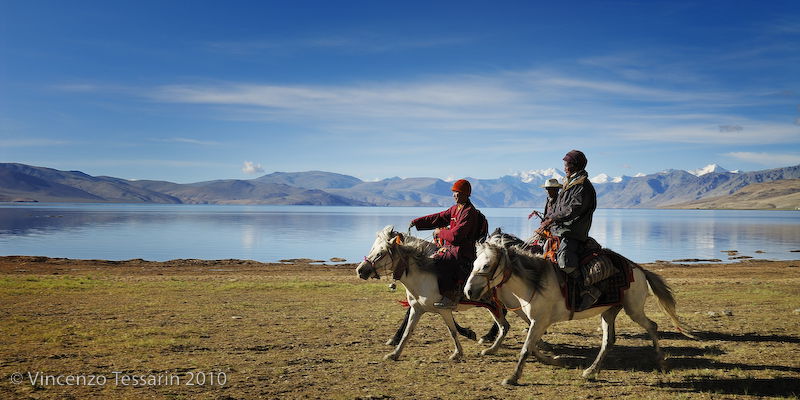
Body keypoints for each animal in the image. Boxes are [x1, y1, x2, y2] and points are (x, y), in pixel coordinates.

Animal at [356, 227, 512, 360]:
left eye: (380, 253)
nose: (360, 270)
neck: (421, 277)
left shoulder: (444, 310)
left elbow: (452, 331)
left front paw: (458, 352)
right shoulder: (417, 309)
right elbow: (408, 331)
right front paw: (394, 353)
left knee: (505, 325)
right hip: (493, 306)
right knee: (504, 325)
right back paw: (491, 346)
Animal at [462, 241, 692, 384]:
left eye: (487, 265)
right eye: (473, 263)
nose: (469, 291)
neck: (534, 283)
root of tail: (638, 268)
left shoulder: (539, 321)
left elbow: (527, 348)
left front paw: (513, 378)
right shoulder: (536, 322)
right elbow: (533, 346)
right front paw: (553, 360)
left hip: (633, 309)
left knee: (652, 326)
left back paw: (662, 361)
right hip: (609, 312)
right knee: (609, 340)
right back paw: (591, 371)